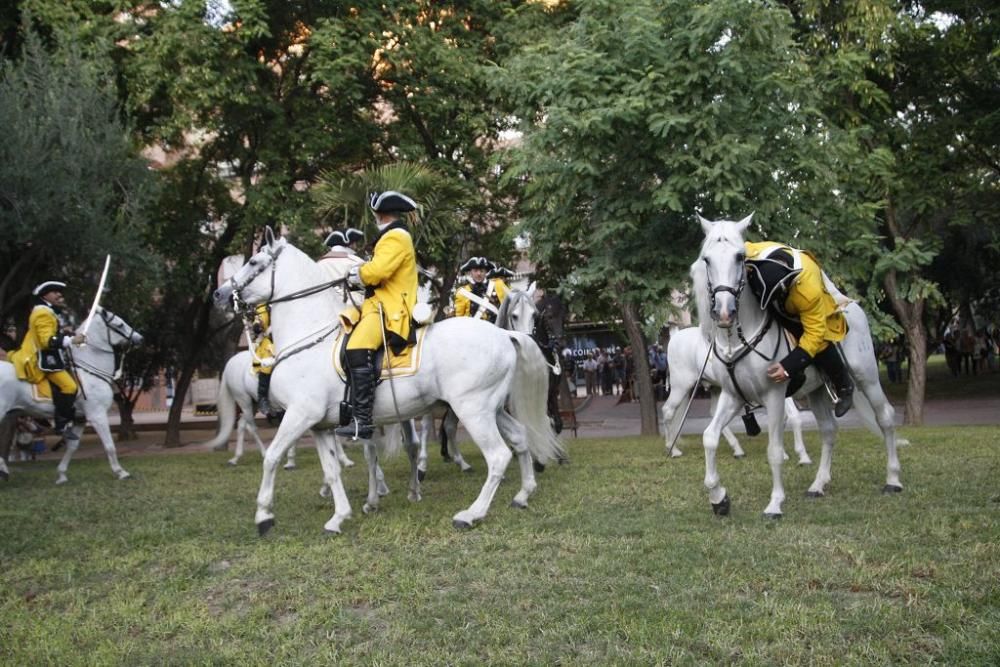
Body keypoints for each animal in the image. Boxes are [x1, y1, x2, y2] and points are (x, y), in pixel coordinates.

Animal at [0, 308, 145, 486]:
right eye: (119, 324)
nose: (140, 338)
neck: (90, 370)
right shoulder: (97, 415)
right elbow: (109, 445)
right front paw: (121, 472)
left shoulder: (80, 419)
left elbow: (72, 447)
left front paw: (61, 475)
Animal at [223, 232, 564, 536]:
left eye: (253, 261)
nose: (221, 295)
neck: (311, 336)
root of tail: (505, 334)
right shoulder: (319, 425)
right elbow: (331, 471)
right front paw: (339, 517)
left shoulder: (300, 415)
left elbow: (272, 457)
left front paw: (264, 515)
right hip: (491, 409)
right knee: (518, 438)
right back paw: (523, 494)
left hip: (473, 410)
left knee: (497, 456)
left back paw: (471, 513)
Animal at [660, 324, 808, 464]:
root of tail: (675, 336)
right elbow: (794, 417)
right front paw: (802, 455)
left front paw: (782, 453)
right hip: (681, 387)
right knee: (667, 411)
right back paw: (673, 450)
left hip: (716, 388)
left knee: (715, 414)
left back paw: (737, 449)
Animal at [692, 217, 904, 520]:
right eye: (707, 259)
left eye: (739, 257)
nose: (723, 312)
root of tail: (849, 306)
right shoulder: (733, 396)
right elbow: (710, 437)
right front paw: (719, 498)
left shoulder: (774, 395)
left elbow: (774, 450)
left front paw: (775, 504)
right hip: (816, 392)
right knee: (828, 430)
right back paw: (818, 484)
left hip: (867, 378)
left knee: (885, 417)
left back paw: (893, 479)